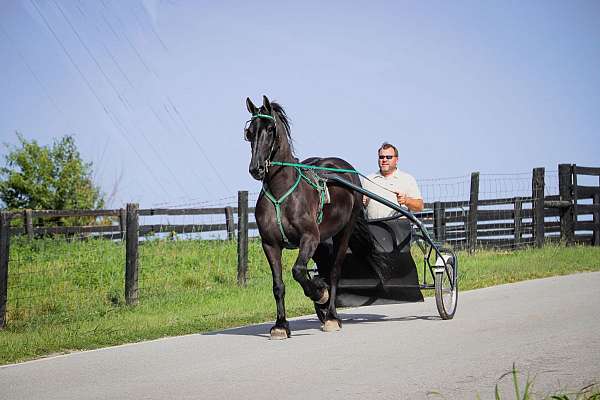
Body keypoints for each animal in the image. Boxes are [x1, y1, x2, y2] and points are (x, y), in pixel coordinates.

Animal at [245, 95, 390, 340]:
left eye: (270, 129)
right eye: (249, 132)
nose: (256, 169)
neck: (281, 194)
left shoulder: (309, 237)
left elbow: (298, 271)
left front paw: (320, 294)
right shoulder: (270, 244)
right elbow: (279, 285)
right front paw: (280, 325)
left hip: (343, 232)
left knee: (334, 272)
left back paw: (331, 316)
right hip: (323, 241)